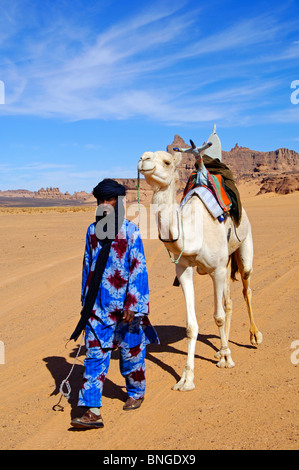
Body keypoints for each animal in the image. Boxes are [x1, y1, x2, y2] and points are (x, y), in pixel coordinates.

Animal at [138, 131, 262, 390]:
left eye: (167, 161)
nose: (143, 159)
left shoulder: (217, 270)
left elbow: (218, 316)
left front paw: (227, 359)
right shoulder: (184, 270)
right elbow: (191, 326)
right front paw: (186, 378)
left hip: (244, 248)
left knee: (246, 289)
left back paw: (253, 337)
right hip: (226, 263)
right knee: (229, 301)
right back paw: (221, 348)